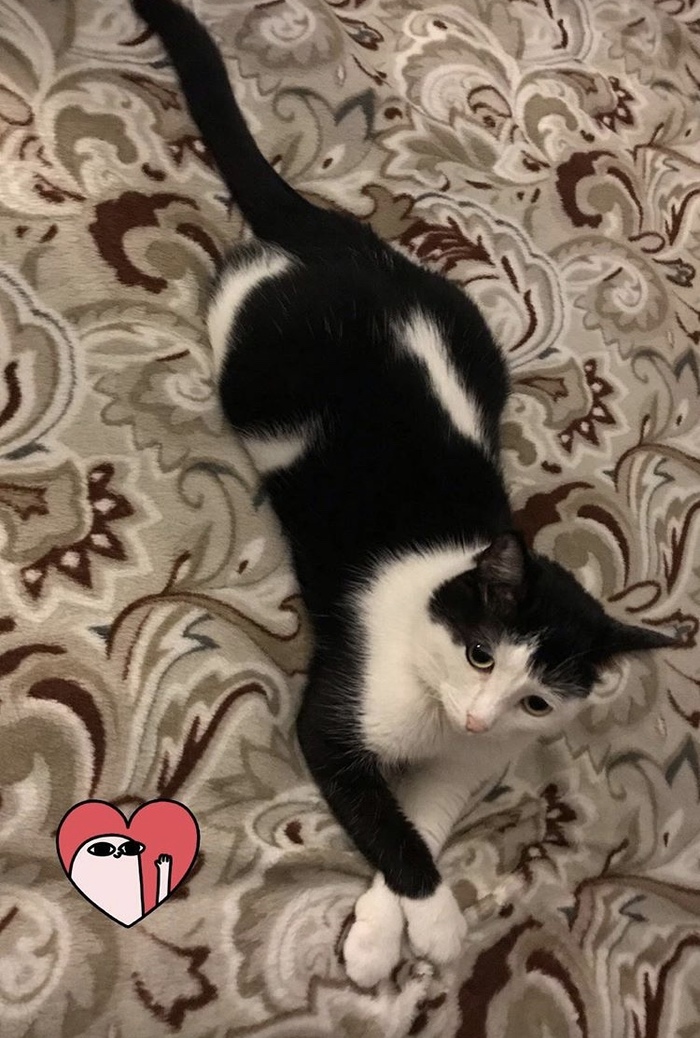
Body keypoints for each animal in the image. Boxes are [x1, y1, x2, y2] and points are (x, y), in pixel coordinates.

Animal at [132, 0, 676, 988]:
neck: (434, 713)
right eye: (479, 654)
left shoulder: (471, 763)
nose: (478, 711)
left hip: (471, 333)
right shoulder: (337, 719)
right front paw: (428, 923)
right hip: (259, 351)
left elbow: (422, 818)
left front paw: (393, 926)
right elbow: (383, 819)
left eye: (536, 702)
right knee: (239, 280)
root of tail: (354, 247)